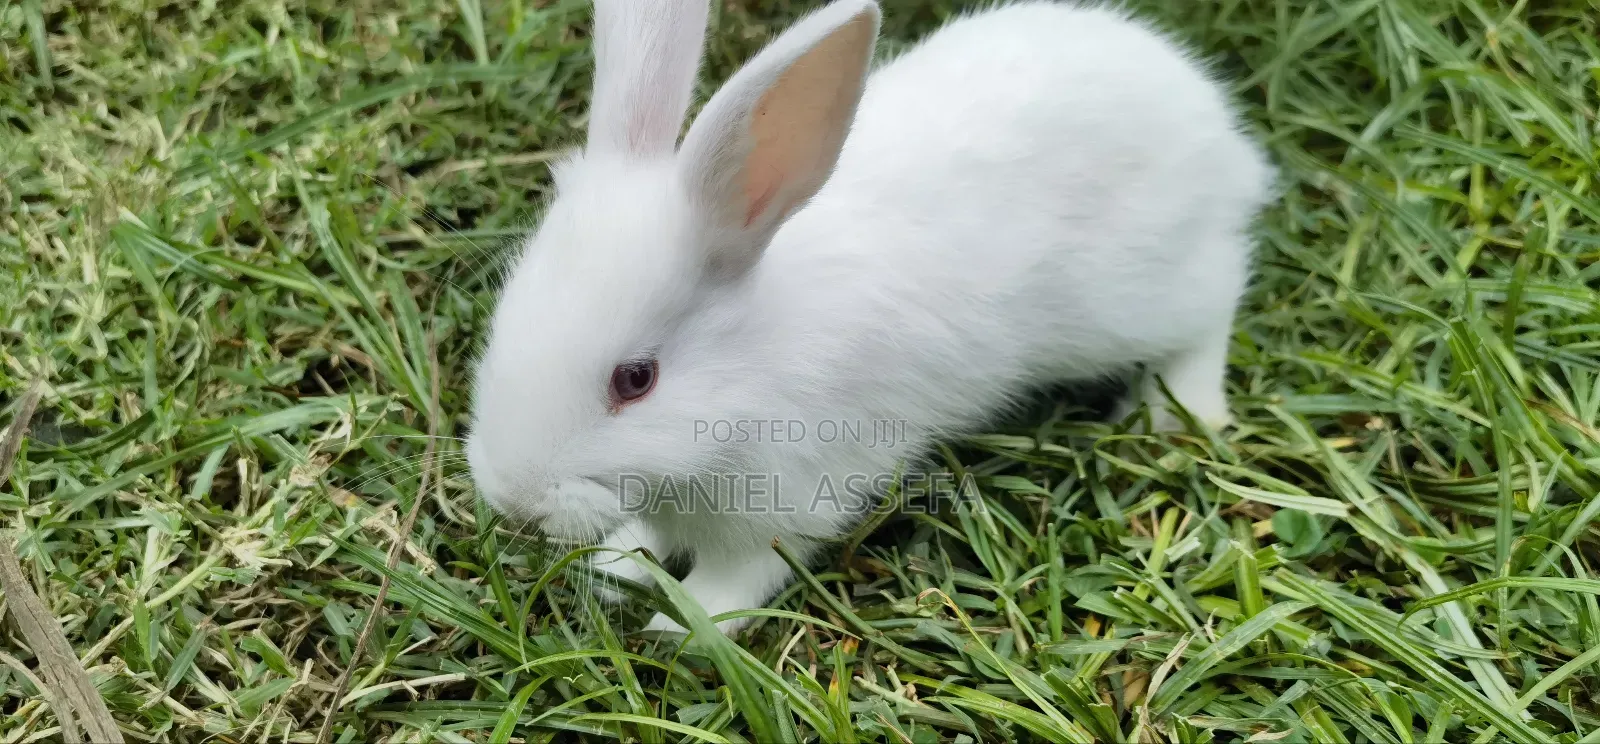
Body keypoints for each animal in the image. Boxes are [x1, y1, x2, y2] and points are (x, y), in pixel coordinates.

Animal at [466, 0, 1275, 635]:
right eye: (505, 321)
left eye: (636, 379)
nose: (514, 502)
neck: (751, 369)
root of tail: (1214, 128)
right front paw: (615, 570)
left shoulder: (788, 504)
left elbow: (740, 579)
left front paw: (683, 625)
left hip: (1148, 294)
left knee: (1217, 303)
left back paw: (1176, 411)